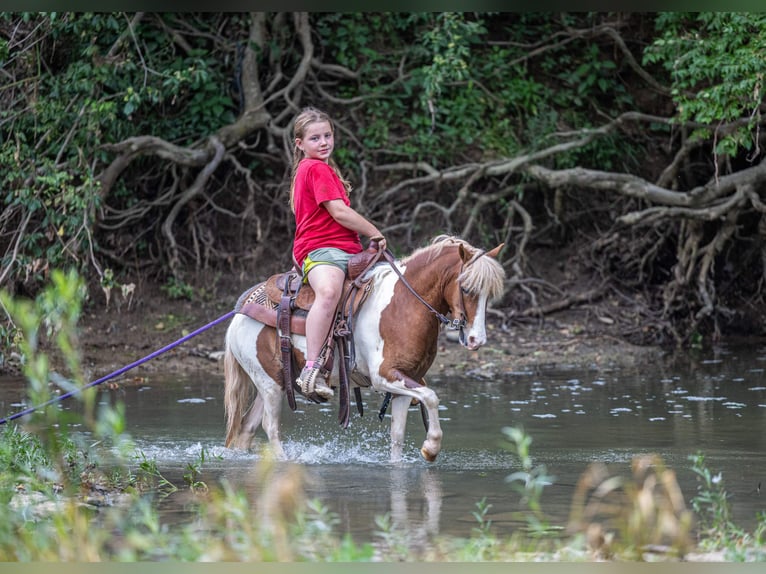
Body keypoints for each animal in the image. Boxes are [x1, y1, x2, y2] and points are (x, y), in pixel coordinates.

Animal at [223, 235, 506, 463]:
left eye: (489, 294)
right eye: (466, 288)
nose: (477, 340)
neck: (404, 305)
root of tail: (240, 311)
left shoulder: (406, 382)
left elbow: (398, 436)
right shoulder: (384, 377)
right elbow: (433, 397)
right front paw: (431, 447)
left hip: (277, 382)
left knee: (247, 428)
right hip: (268, 383)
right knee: (270, 426)